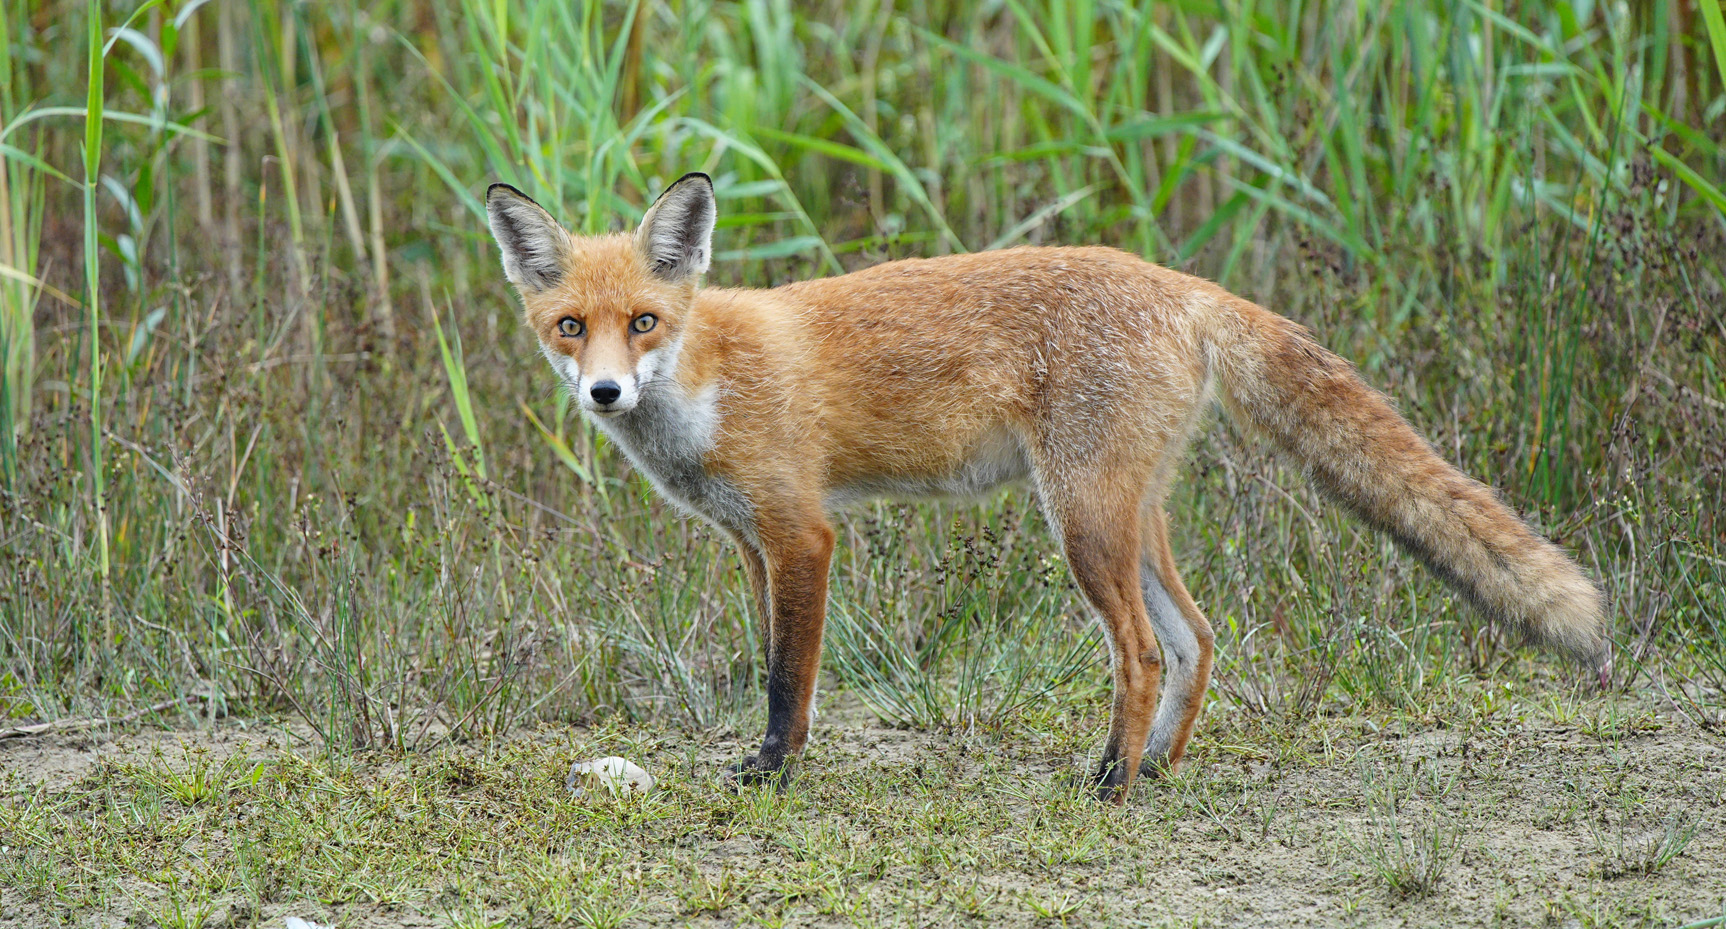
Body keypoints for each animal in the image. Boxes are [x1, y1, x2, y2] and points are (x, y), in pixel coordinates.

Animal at [484, 172, 1608, 803]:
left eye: (643, 321)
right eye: (570, 327)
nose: (604, 391)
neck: (705, 378)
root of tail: (1180, 284)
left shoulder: (803, 533)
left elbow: (786, 681)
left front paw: (772, 775)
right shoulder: (753, 544)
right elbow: (769, 661)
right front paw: (769, 765)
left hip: (1083, 522)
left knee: (1144, 652)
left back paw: (1110, 782)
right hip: (1127, 514)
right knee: (1200, 637)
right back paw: (1155, 769)